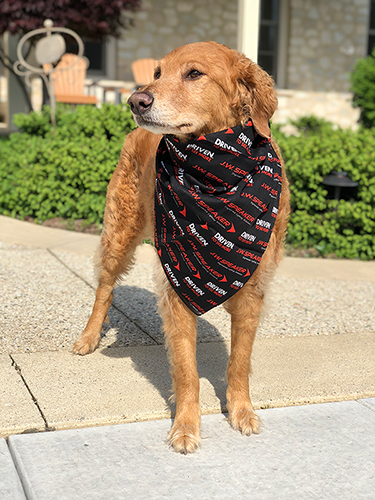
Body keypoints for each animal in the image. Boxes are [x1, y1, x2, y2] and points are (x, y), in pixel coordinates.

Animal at [73, 42, 290, 454]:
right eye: (157, 73)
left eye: (194, 74)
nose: (136, 100)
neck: (214, 174)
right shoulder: (177, 285)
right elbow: (187, 371)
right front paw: (186, 427)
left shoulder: (252, 289)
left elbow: (239, 362)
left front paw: (241, 411)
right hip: (120, 233)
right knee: (104, 288)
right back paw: (89, 337)